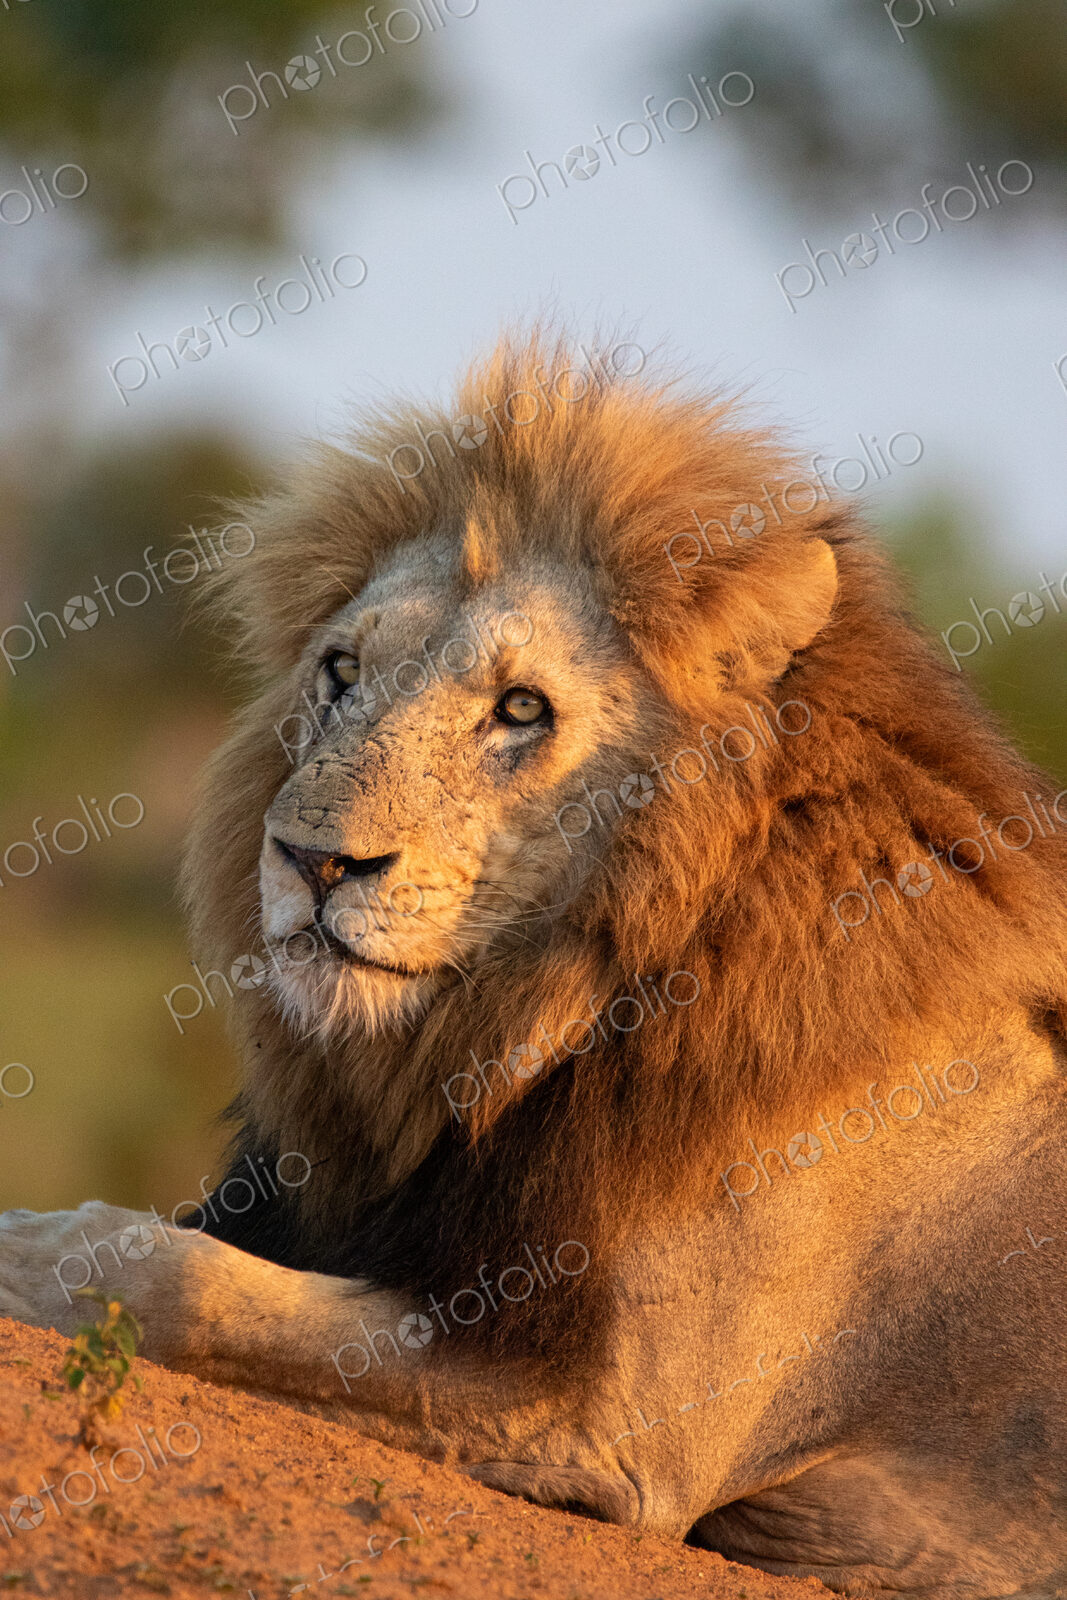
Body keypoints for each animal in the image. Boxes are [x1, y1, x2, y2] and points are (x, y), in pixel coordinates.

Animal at [3, 331, 1067, 1599]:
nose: (312, 859)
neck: (518, 1027)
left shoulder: (604, 1419)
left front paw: (32, 1249)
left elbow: (193, 1283)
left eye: (518, 708)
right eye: (340, 671)